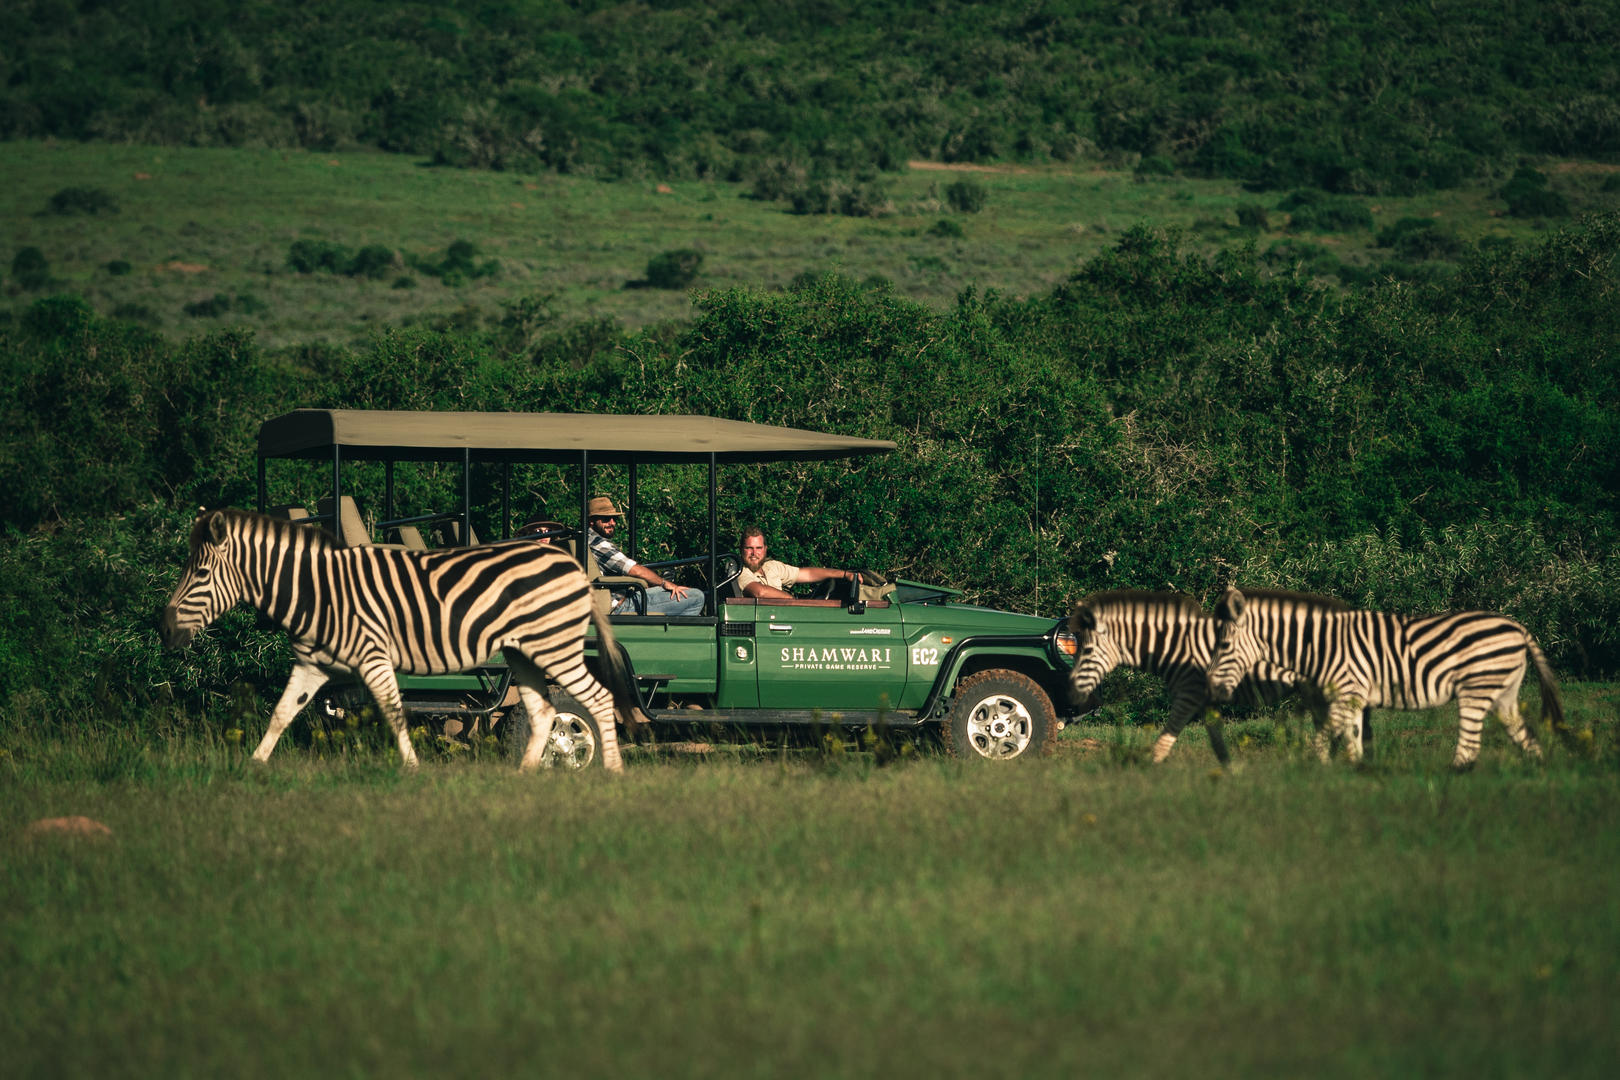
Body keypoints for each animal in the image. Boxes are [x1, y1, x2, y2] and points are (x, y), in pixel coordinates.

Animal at [160, 508, 641, 772]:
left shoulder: (373, 656)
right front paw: (254, 768)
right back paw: (527, 774)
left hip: (552, 647)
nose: (164, 629)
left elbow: (393, 713)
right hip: (526, 653)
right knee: (545, 712)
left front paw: (412, 770)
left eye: (199, 573)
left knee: (597, 699)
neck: (320, 589)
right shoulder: (313, 664)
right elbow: (280, 713)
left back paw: (612, 772)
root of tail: (570, 564)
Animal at [1067, 591, 1312, 765]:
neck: (1176, 647)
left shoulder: (1189, 693)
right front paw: (1230, 775)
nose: (1071, 689)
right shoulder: (1205, 700)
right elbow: (1218, 743)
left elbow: (1165, 739)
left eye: (1086, 651)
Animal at [1205, 586, 1570, 769]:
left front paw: (1320, 779)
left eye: (1223, 645)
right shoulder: (1351, 699)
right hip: (1503, 691)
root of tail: (1518, 627)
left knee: (1469, 747)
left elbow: (1320, 742)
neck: (1320, 645)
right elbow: (1351, 744)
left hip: (1476, 688)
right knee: (1525, 737)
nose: (1211, 688)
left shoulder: (1347, 692)